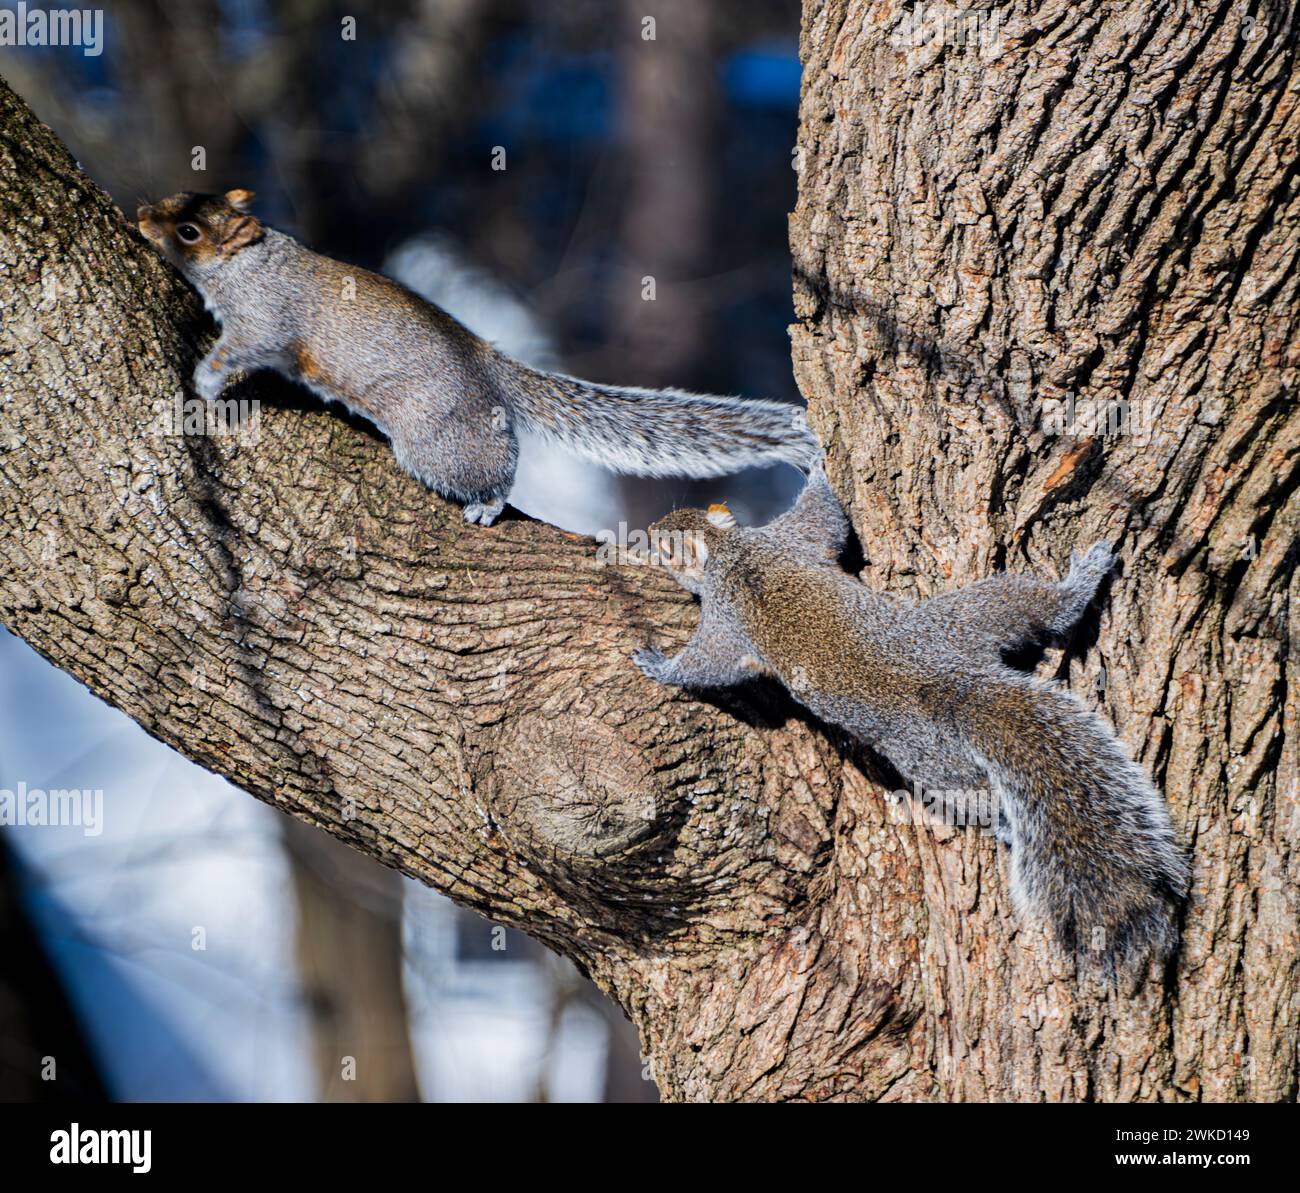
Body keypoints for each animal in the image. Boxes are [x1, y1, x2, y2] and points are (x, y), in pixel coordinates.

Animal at [137, 189, 816, 525]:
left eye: (191, 231)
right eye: (178, 194)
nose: (142, 214)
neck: (249, 259)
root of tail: (484, 363)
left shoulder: (266, 316)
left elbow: (245, 346)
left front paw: (204, 380)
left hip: (441, 439)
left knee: (491, 466)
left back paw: (488, 503)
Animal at [634, 462, 1190, 977]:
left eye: (665, 544)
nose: (645, 531)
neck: (728, 553)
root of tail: (955, 686)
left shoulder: (739, 601)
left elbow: (712, 660)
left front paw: (659, 665)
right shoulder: (788, 545)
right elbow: (826, 523)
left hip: (939, 721)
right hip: (970, 628)